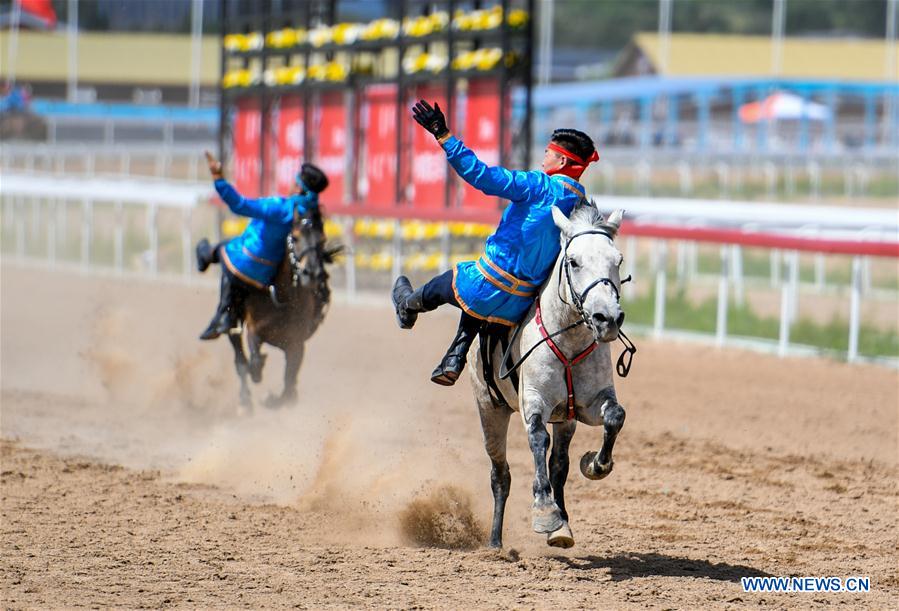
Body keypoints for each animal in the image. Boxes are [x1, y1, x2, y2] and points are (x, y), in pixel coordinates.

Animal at [230, 206, 342, 412]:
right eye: (295, 237)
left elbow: (289, 381)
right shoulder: (255, 329)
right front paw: (257, 373)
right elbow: (254, 358)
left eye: (322, 239)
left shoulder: (296, 342)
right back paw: (244, 401)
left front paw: (276, 399)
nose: (311, 273)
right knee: (239, 356)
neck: (283, 297)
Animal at [468, 204, 628, 548]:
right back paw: (496, 542)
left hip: (565, 418)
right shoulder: (533, 402)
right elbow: (538, 439)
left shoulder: (587, 406)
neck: (568, 340)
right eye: (574, 261)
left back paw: (563, 525)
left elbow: (614, 417)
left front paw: (595, 464)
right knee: (500, 475)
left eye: (618, 260)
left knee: (559, 465)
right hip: (490, 410)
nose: (607, 318)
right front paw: (544, 511)